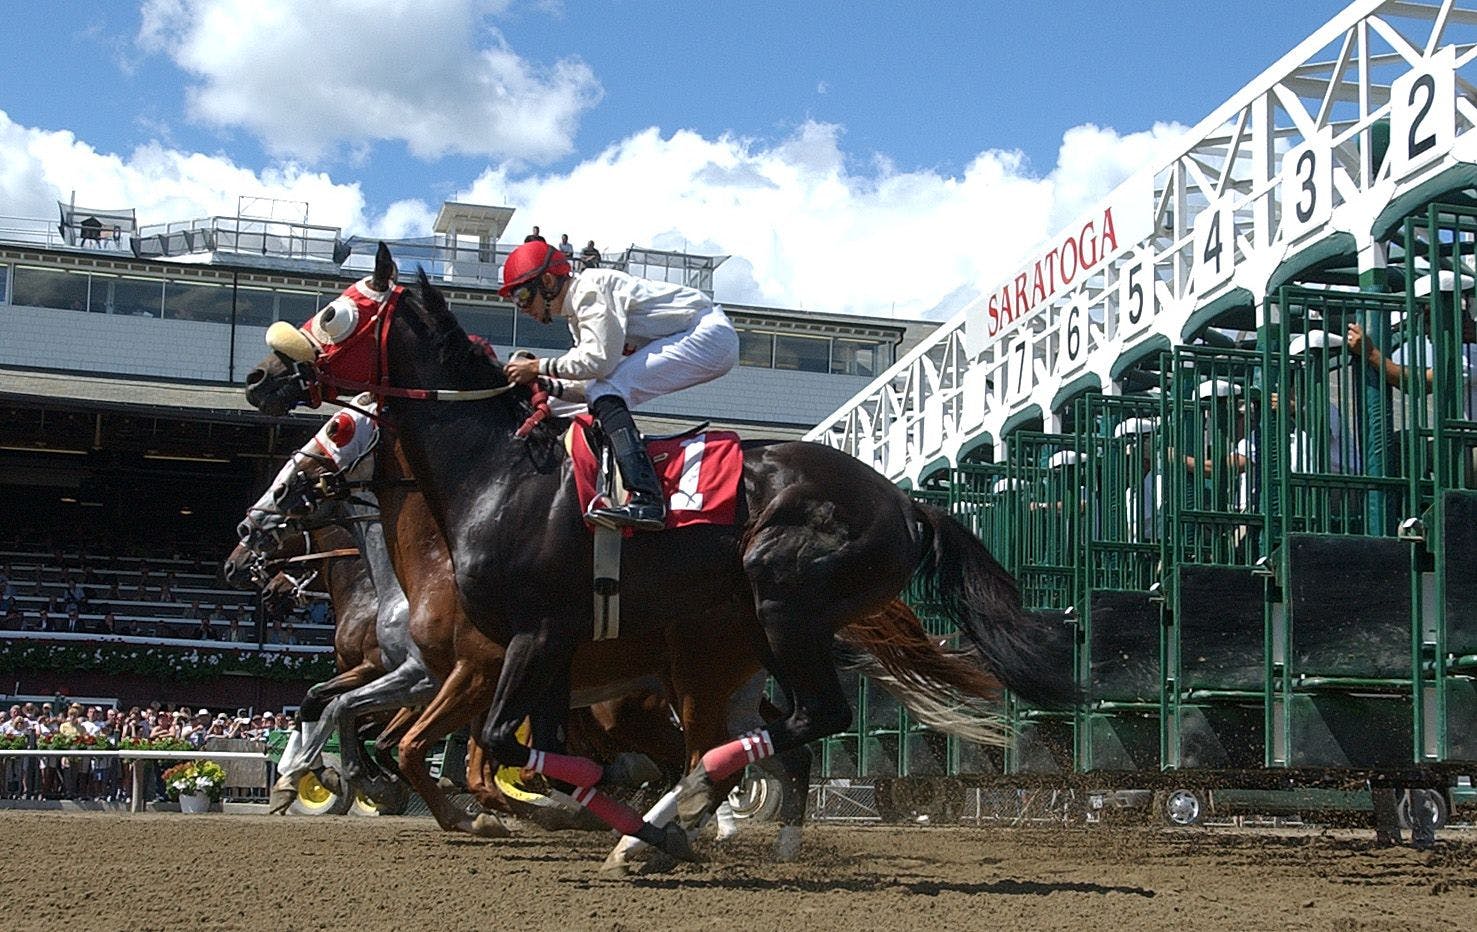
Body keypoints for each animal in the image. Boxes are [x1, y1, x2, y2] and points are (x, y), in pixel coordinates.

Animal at [245, 242, 1075, 868]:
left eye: (335, 311)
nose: (260, 377)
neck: (496, 474)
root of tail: (906, 504)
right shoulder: (542, 647)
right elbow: (512, 746)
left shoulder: (517, 642)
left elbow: (487, 742)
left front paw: (589, 817)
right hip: (749, 641)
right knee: (775, 733)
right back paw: (710, 826)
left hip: (782, 603)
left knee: (804, 721)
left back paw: (687, 808)